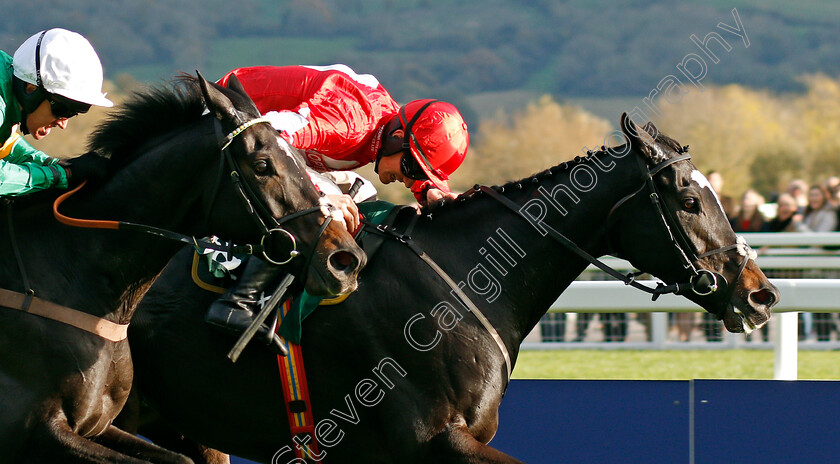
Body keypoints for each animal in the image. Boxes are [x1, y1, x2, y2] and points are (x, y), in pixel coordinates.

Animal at [0, 74, 364, 462]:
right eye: (262, 165)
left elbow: (180, 458)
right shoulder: (39, 433)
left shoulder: (99, 427)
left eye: (300, 157)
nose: (346, 260)